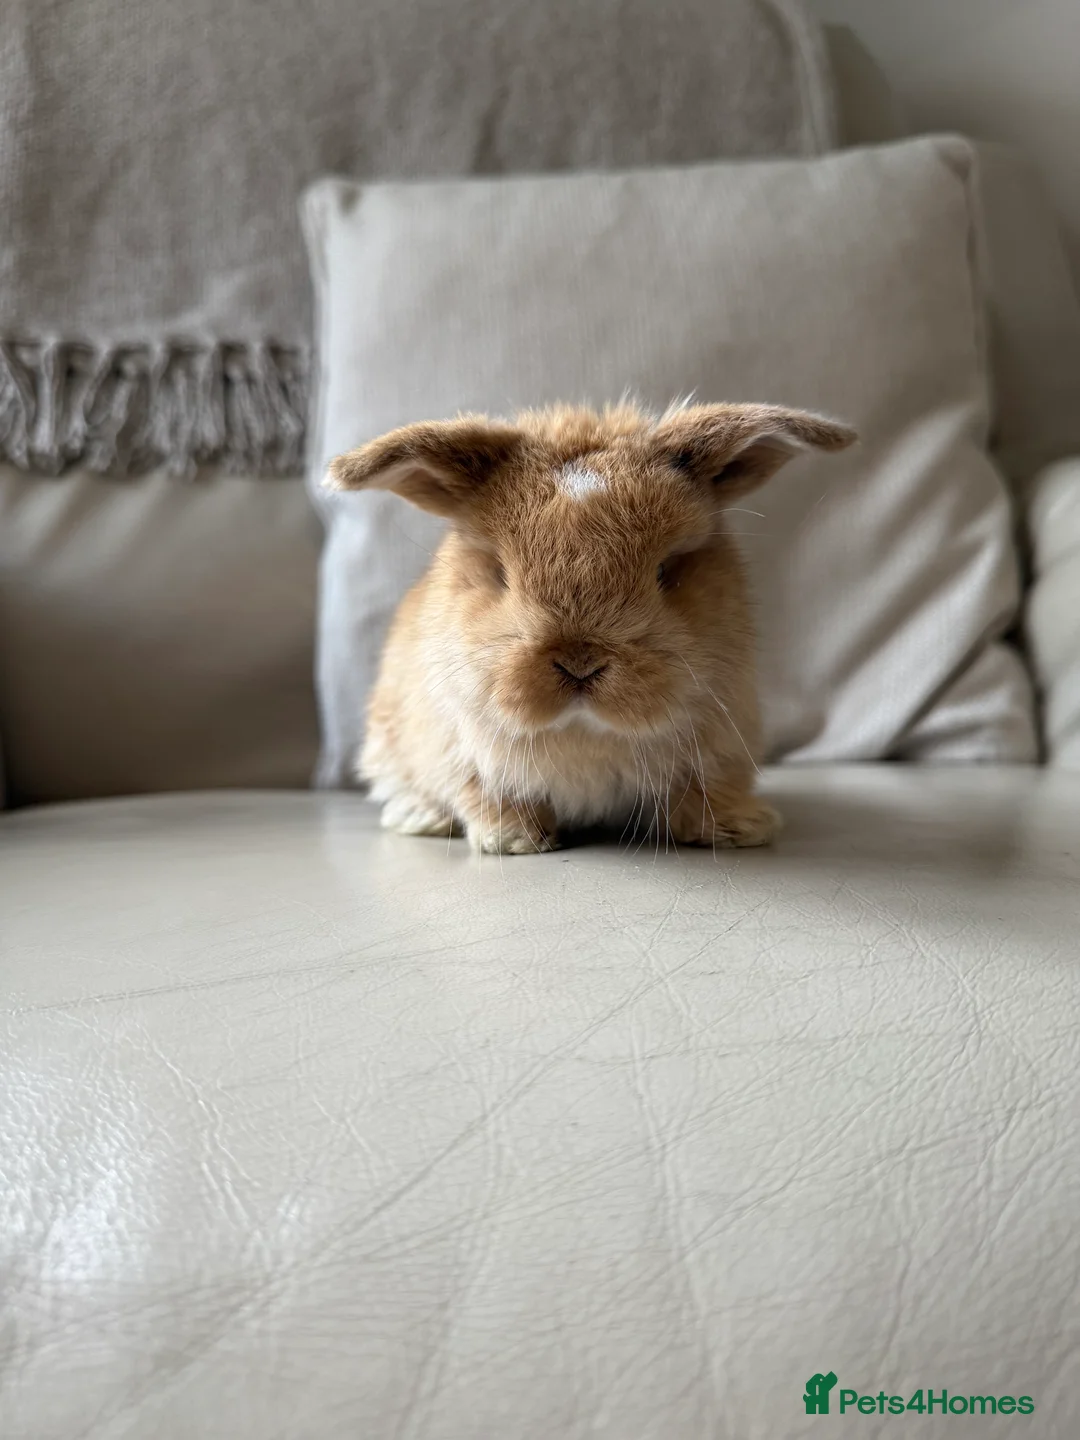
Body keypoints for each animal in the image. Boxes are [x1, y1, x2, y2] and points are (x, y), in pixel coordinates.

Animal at [327, 402, 855, 854]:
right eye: (500, 573)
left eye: (667, 571)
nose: (579, 663)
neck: (585, 733)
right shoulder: (461, 752)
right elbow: (488, 796)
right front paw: (514, 842)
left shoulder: (722, 747)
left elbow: (707, 792)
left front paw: (739, 829)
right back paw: (419, 817)